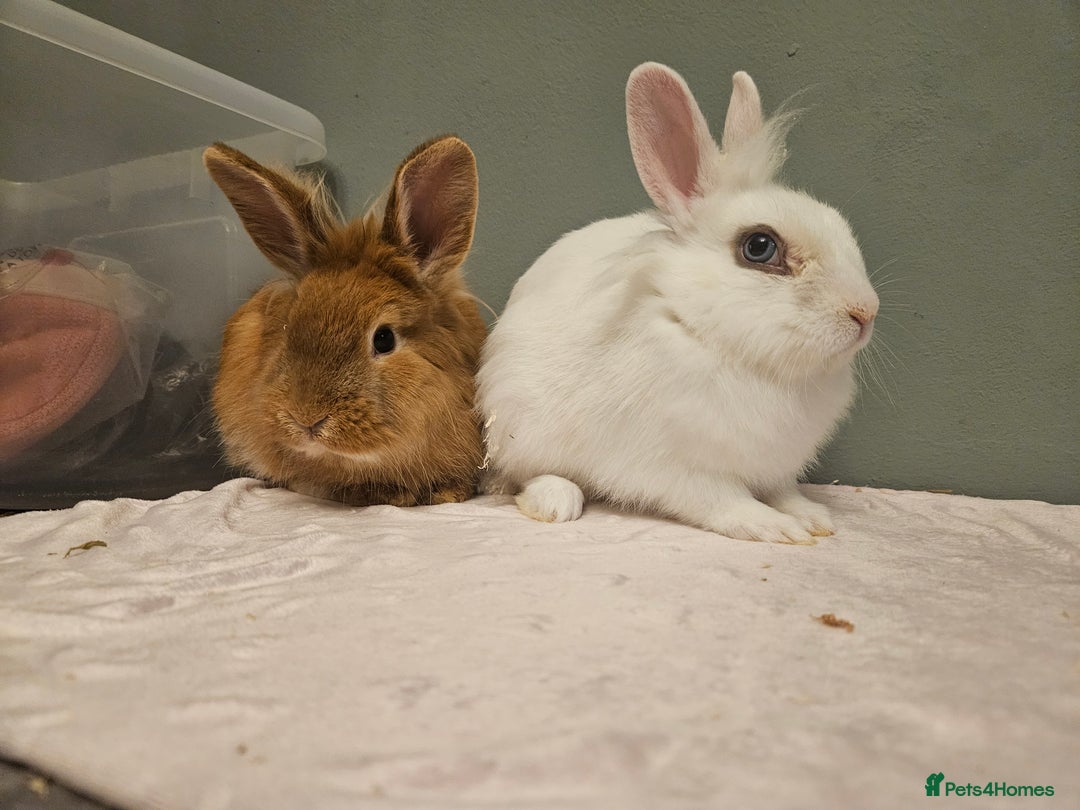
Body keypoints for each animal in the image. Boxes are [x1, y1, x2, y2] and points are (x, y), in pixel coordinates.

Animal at [476, 63, 879, 543]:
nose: (866, 312)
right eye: (760, 247)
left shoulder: (776, 467)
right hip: (521, 426)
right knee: (526, 474)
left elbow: (783, 491)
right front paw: (775, 528)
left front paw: (812, 517)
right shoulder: (677, 467)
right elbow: (724, 502)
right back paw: (557, 500)